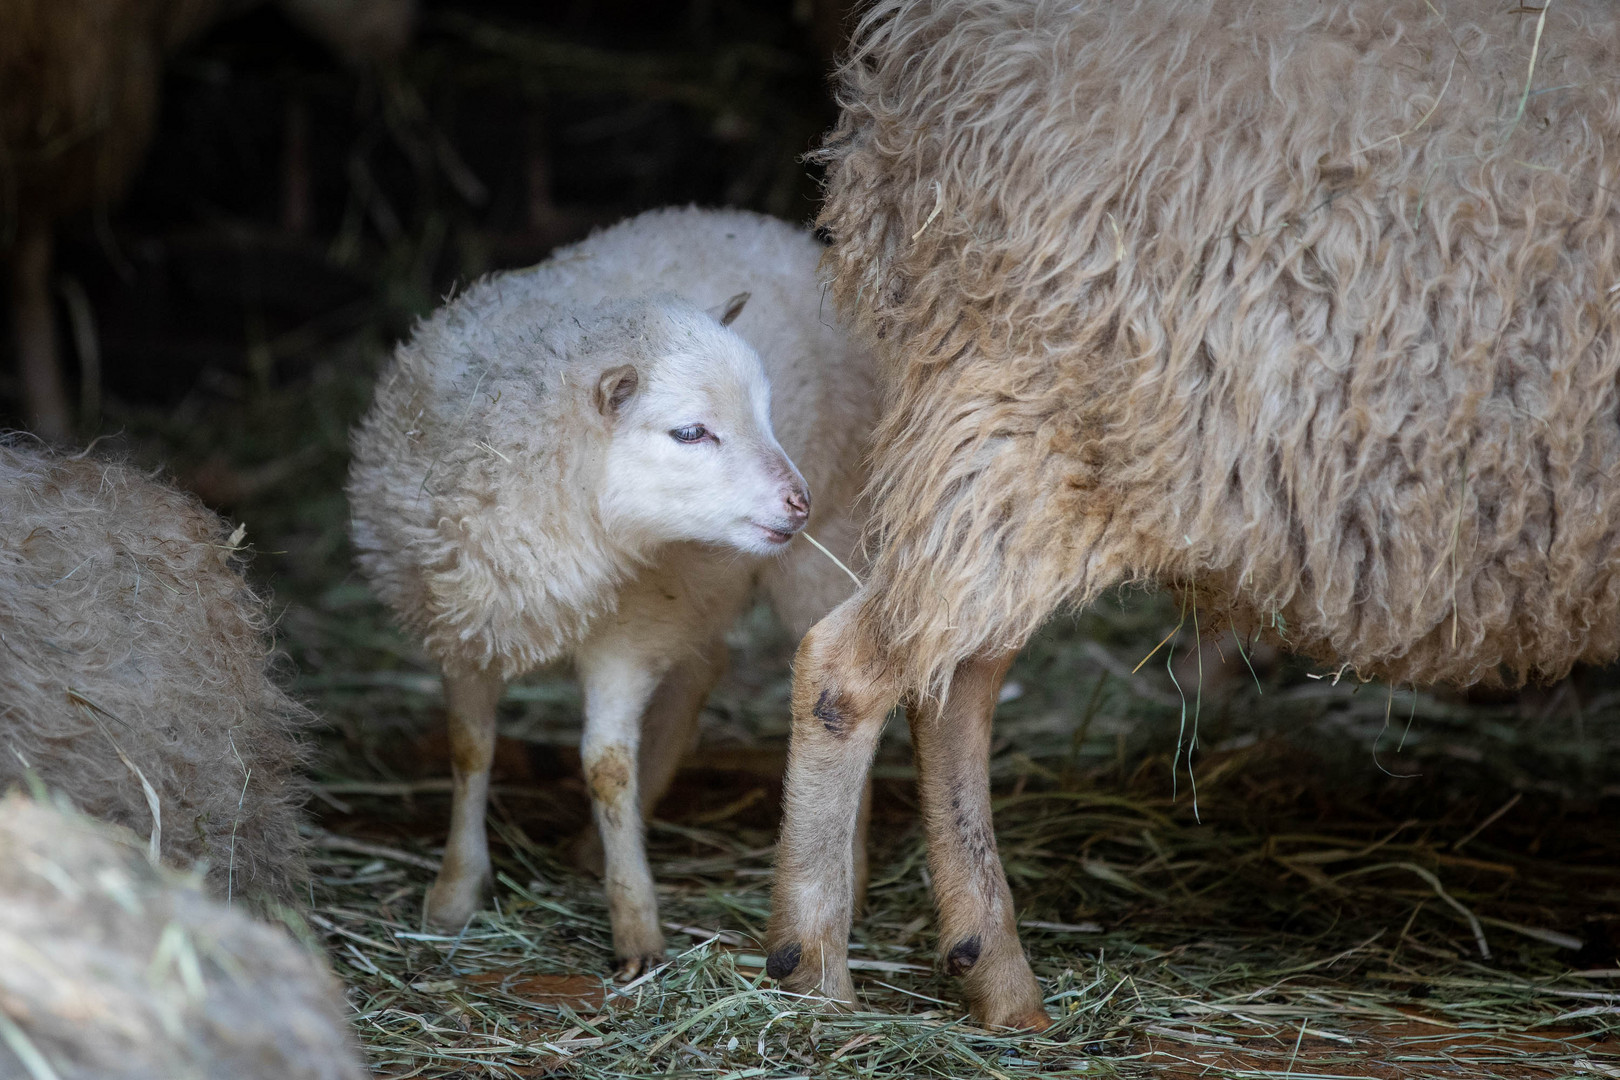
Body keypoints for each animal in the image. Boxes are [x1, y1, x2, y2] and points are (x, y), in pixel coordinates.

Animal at [349, 204, 881, 977]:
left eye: (766, 410)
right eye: (690, 432)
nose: (797, 503)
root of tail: (765, 226)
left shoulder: (626, 635)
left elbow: (605, 767)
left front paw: (635, 924)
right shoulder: (467, 625)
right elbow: (469, 748)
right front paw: (453, 891)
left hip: (826, 553)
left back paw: (854, 872)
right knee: (703, 669)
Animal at [764, 0, 1620, 1029]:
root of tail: (915, 76)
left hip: (1025, 438)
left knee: (950, 677)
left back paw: (993, 975)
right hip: (1038, 407)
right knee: (852, 666)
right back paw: (818, 972)